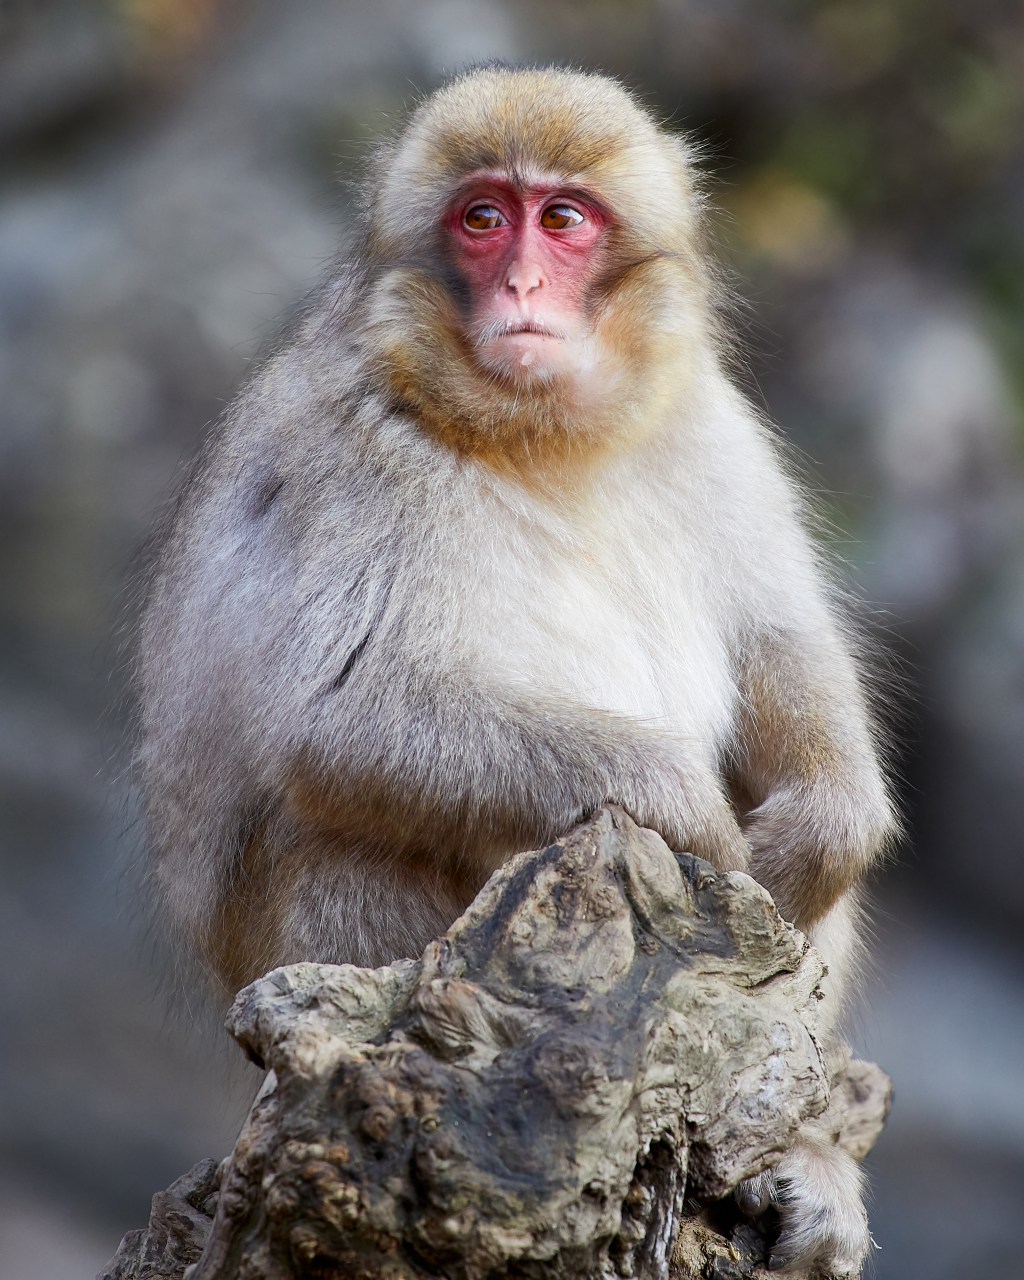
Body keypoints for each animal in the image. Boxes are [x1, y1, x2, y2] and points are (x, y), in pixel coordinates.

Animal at [136, 67, 896, 1276]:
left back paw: (796, 1152)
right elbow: (341, 716)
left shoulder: (709, 422)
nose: (525, 282)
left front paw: (828, 818)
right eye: (483, 219)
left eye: (564, 219)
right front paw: (679, 805)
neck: (543, 435)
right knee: (340, 837)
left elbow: (779, 638)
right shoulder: (357, 449)